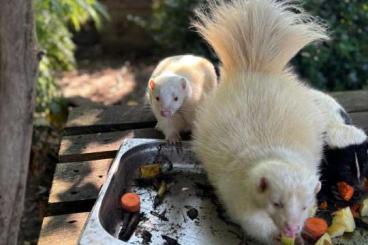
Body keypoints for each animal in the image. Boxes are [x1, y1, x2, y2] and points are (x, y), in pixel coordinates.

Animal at [194, 0, 330, 243]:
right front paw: (272, 236)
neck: (273, 153)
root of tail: (255, 66)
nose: (291, 229)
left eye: (305, 207)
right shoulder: (237, 193)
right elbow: (252, 223)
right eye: (276, 203)